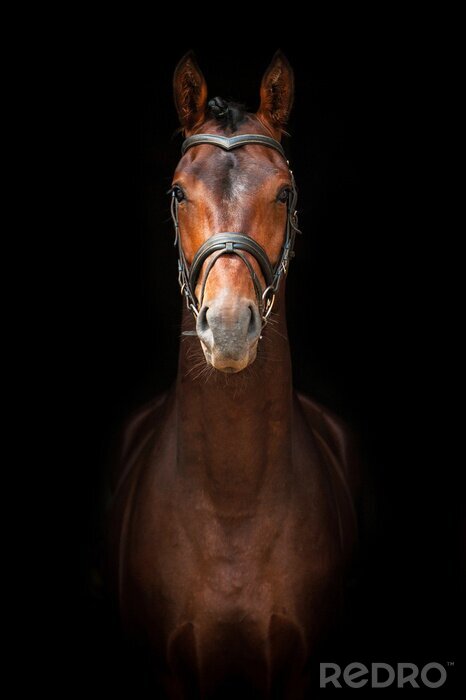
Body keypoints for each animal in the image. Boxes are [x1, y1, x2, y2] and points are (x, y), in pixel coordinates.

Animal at [107, 51, 360, 699]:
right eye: (177, 191)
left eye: (284, 193)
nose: (227, 328)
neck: (231, 509)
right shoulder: (170, 673)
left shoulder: (296, 672)